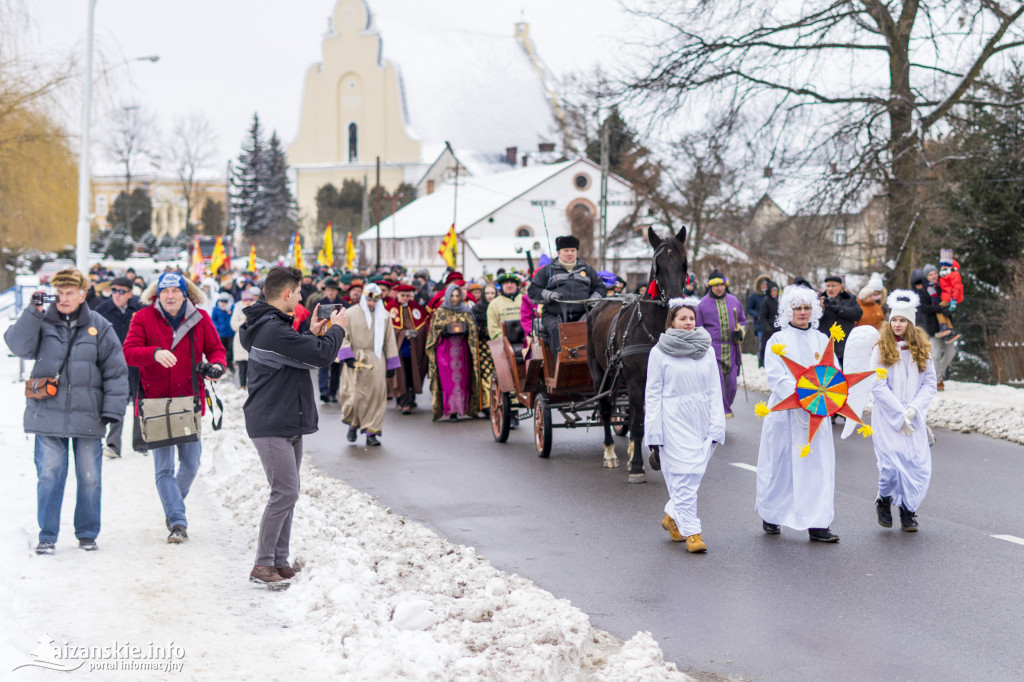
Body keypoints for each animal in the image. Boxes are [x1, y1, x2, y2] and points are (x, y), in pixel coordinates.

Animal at [585, 225, 688, 481]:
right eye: (658, 264)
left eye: (684, 262)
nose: (675, 300)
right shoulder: (635, 381)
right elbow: (639, 422)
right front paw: (639, 467)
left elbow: (651, 419)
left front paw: (654, 456)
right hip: (600, 373)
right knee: (606, 407)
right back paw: (610, 452)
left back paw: (631, 453)